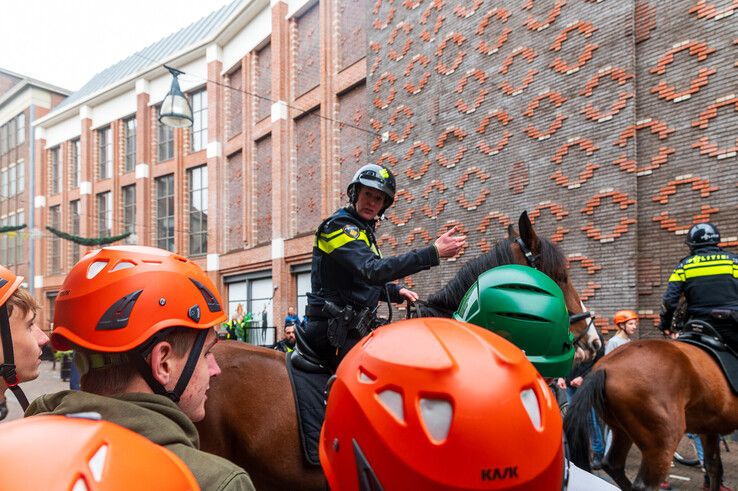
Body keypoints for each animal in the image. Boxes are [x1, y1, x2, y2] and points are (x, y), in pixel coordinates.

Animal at [564, 340, 736, 490]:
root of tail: (605, 368)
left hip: (622, 431)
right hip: (663, 442)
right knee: (643, 485)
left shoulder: (708, 429)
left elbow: (714, 467)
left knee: (613, 464)